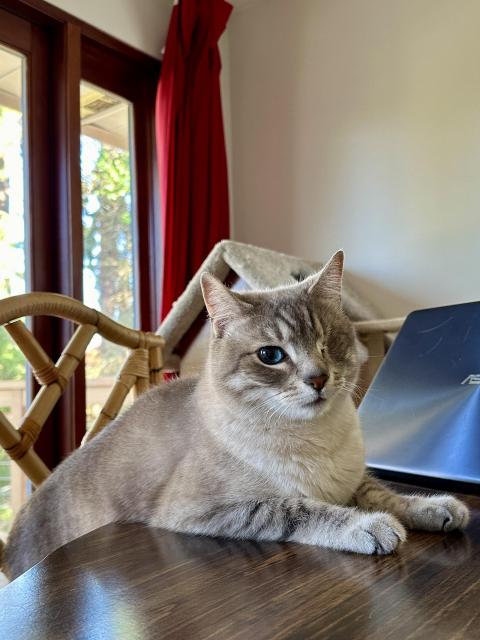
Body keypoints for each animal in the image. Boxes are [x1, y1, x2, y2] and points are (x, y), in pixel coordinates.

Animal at [0, 250, 468, 580]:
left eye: (327, 343)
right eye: (271, 356)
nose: (318, 379)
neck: (314, 439)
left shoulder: (350, 479)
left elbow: (386, 494)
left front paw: (440, 509)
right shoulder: (203, 510)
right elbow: (301, 509)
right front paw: (372, 528)